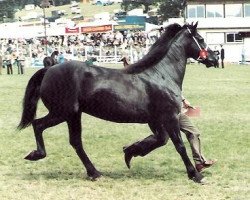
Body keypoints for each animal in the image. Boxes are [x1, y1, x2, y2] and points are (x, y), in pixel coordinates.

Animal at [18, 23, 217, 183]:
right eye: (200, 38)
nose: (214, 59)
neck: (160, 75)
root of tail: (49, 69)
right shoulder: (169, 117)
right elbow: (179, 145)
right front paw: (196, 175)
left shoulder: (155, 120)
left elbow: (160, 140)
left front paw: (130, 151)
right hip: (62, 112)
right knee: (38, 125)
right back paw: (36, 154)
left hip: (73, 115)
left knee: (75, 142)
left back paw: (95, 173)